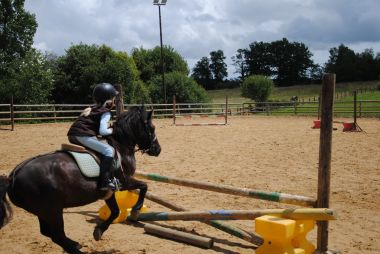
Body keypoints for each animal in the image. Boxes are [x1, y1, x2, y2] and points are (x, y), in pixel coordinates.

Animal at [0, 105, 160, 254]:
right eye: (152, 128)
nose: (158, 150)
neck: (121, 146)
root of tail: (13, 176)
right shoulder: (124, 181)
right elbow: (144, 186)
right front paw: (136, 211)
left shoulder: (109, 191)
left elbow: (115, 211)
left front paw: (98, 231)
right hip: (52, 211)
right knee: (57, 235)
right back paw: (76, 248)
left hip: (42, 212)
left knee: (48, 233)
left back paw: (75, 243)